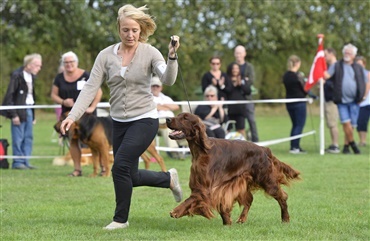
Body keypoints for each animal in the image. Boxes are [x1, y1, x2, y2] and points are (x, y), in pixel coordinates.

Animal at [166, 112, 302, 225]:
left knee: (283, 196)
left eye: (185, 118)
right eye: (178, 115)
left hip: (267, 180)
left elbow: (191, 198)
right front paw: (227, 222)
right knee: (249, 199)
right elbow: (221, 205)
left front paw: (177, 211)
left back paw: (285, 218)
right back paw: (242, 218)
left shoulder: (205, 188)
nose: (167, 119)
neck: (201, 150)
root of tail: (264, 149)